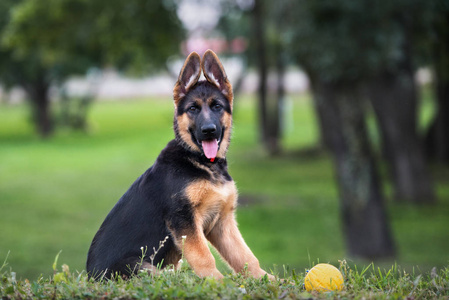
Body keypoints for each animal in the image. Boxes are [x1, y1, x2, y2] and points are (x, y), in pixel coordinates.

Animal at [86, 49, 272, 282]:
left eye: (217, 106)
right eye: (192, 109)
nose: (209, 130)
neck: (201, 162)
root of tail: (89, 276)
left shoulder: (222, 223)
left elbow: (245, 256)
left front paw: (268, 279)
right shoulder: (184, 220)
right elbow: (204, 257)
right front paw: (218, 283)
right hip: (137, 265)